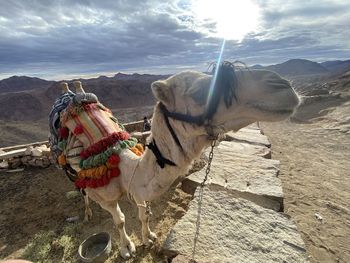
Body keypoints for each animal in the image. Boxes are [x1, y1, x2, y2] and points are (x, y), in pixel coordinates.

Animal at [54, 64, 298, 260]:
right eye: (199, 93)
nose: (284, 86)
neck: (122, 163)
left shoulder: (139, 191)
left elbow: (144, 213)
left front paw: (149, 237)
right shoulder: (106, 198)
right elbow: (120, 220)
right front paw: (126, 248)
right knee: (82, 190)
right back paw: (87, 212)